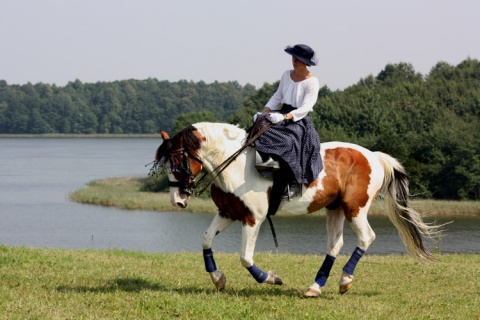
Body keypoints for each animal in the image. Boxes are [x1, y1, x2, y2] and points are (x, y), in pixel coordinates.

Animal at [152, 121, 440, 296]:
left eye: (177, 162)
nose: (177, 201)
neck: (234, 164)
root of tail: (374, 156)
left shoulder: (252, 219)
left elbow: (246, 257)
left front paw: (271, 278)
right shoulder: (228, 213)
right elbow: (205, 240)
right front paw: (218, 279)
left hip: (354, 208)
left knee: (366, 237)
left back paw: (345, 281)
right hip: (335, 208)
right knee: (334, 244)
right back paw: (316, 286)